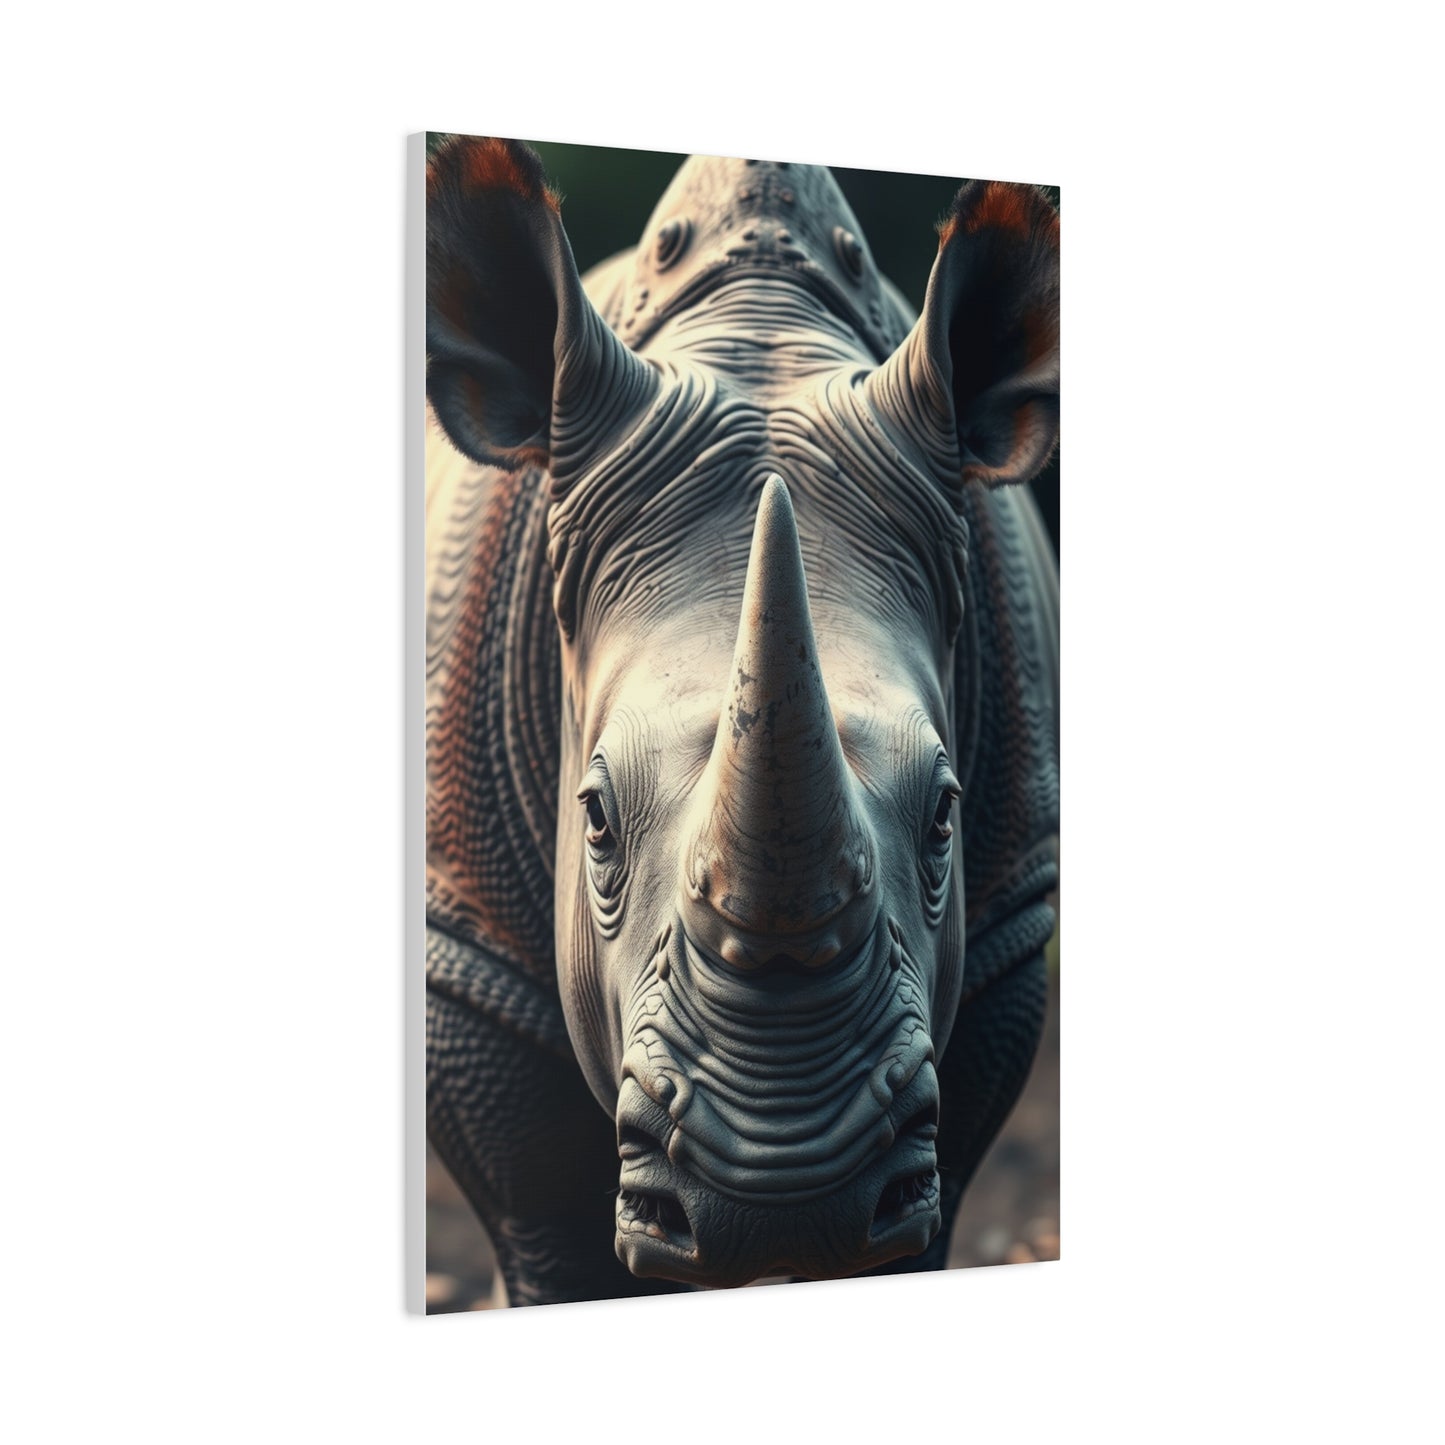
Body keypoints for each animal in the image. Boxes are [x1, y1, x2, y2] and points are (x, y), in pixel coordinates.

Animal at [424, 136, 1059, 1304]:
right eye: (592, 819)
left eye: (945, 815)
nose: (782, 1201)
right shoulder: (469, 956)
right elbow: (546, 1219)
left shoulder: (1003, 925)